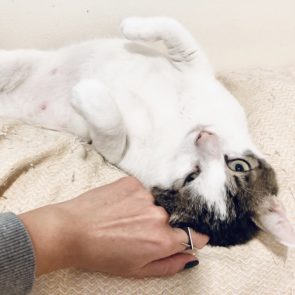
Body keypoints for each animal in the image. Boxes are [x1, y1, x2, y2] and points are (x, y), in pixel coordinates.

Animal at [0, 16, 295, 247]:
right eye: (239, 165)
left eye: (191, 177)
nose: (204, 138)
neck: (179, 129)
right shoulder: (198, 71)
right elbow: (178, 33)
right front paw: (132, 26)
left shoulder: (117, 155)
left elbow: (112, 133)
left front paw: (89, 94)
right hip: (19, 62)